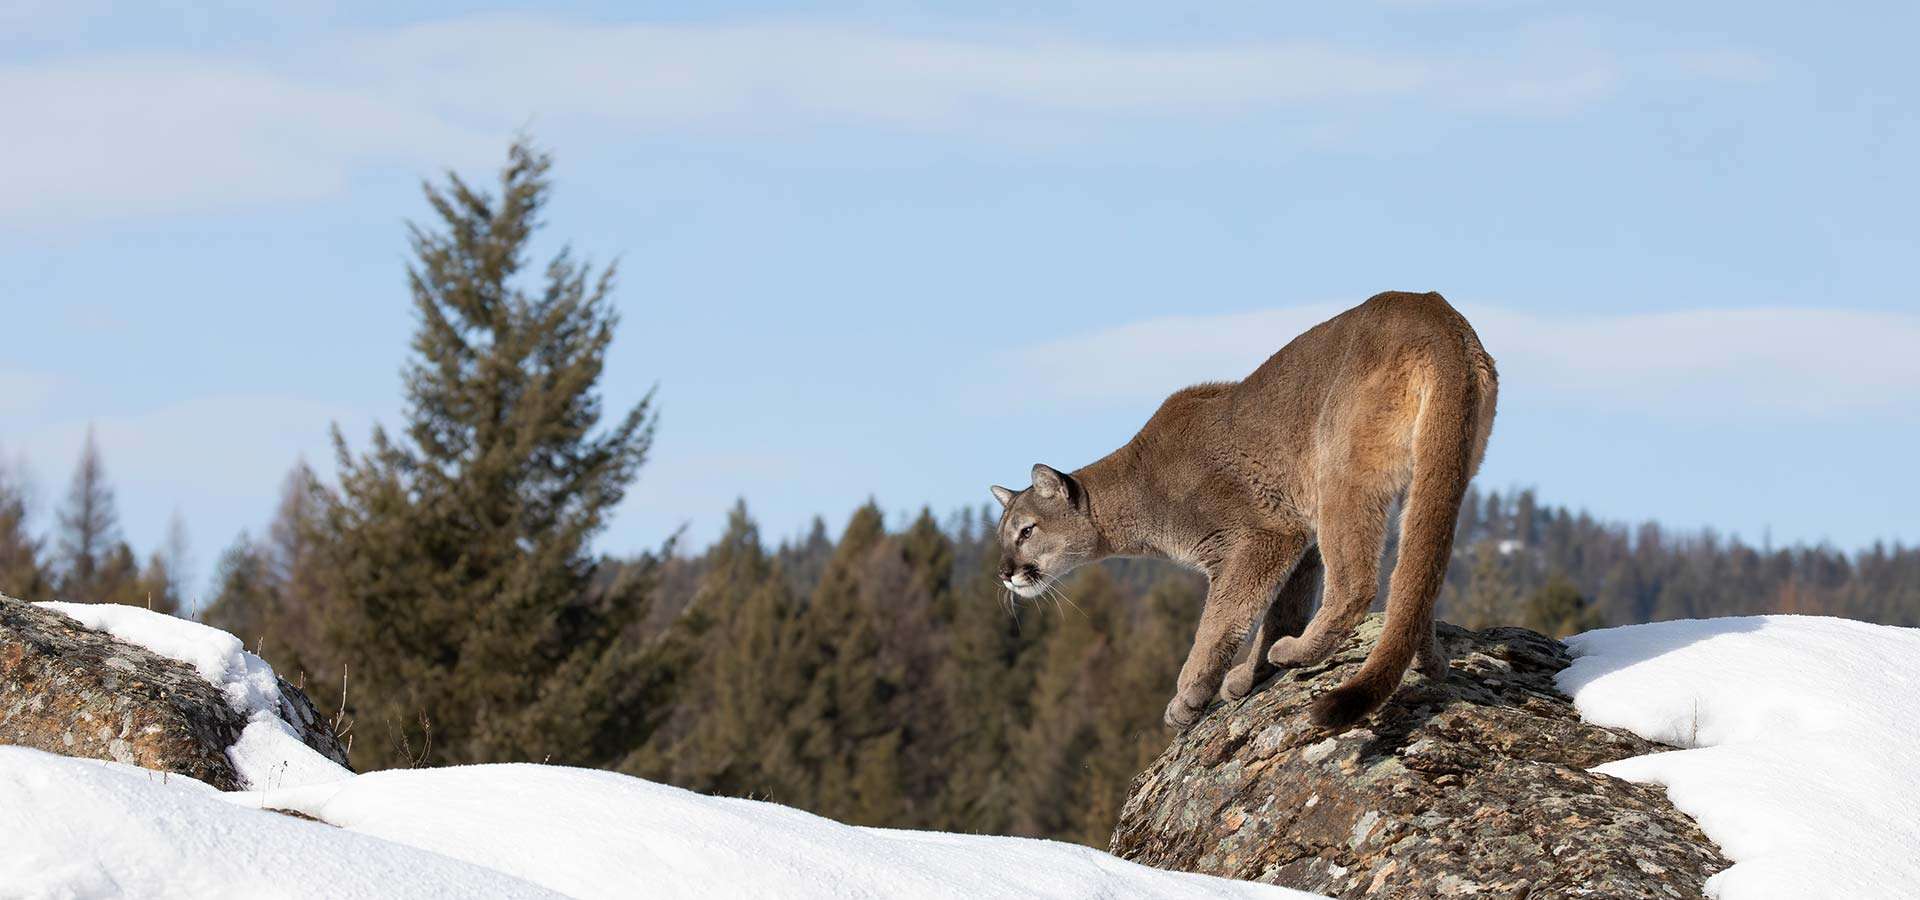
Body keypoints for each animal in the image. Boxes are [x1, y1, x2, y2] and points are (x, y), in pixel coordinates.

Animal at [990, 293, 1497, 729]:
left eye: (1026, 531)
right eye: (1003, 537)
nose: (1004, 572)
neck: (1136, 488)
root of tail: (1434, 313)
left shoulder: (1261, 536)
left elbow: (1219, 621)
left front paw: (1189, 697)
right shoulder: (1297, 536)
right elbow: (1281, 609)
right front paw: (1247, 676)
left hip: (1340, 471)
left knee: (1357, 583)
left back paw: (1299, 652)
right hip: (1435, 472)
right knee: (1417, 572)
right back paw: (1429, 660)